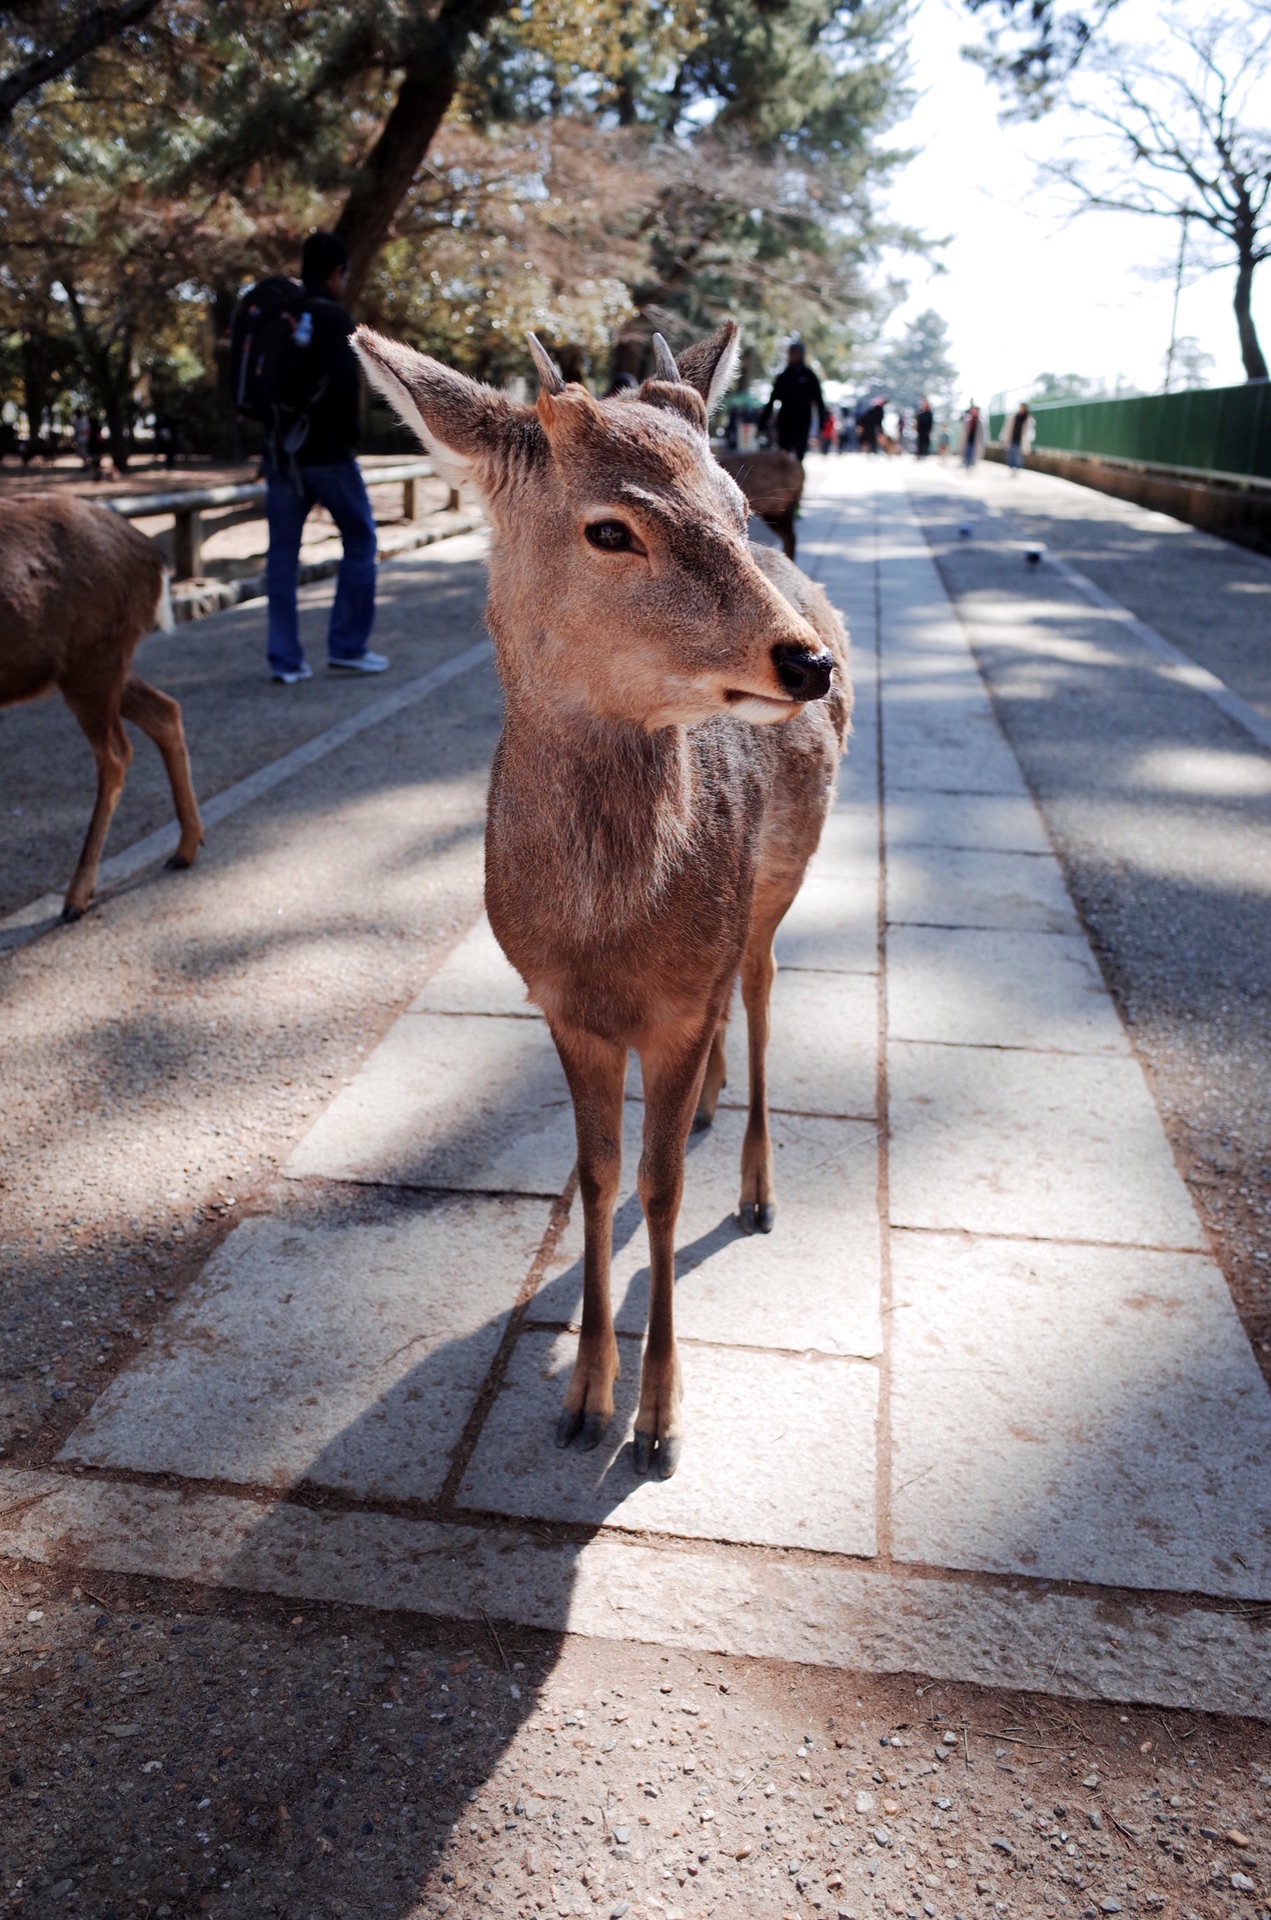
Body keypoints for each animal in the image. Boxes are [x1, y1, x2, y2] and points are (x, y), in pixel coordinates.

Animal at [1, 491, 204, 917]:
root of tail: (155, 559)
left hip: (92, 660)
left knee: (115, 754)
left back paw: (76, 896)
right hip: (104, 665)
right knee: (165, 710)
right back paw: (185, 847)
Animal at [353, 322, 852, 1474]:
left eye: (734, 504)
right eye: (610, 529)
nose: (806, 662)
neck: (611, 942)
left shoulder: (680, 998)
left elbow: (660, 1191)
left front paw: (656, 1419)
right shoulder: (561, 1006)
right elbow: (596, 1175)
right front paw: (584, 1397)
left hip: (779, 881)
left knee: (761, 992)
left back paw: (756, 1186)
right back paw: (712, 1104)